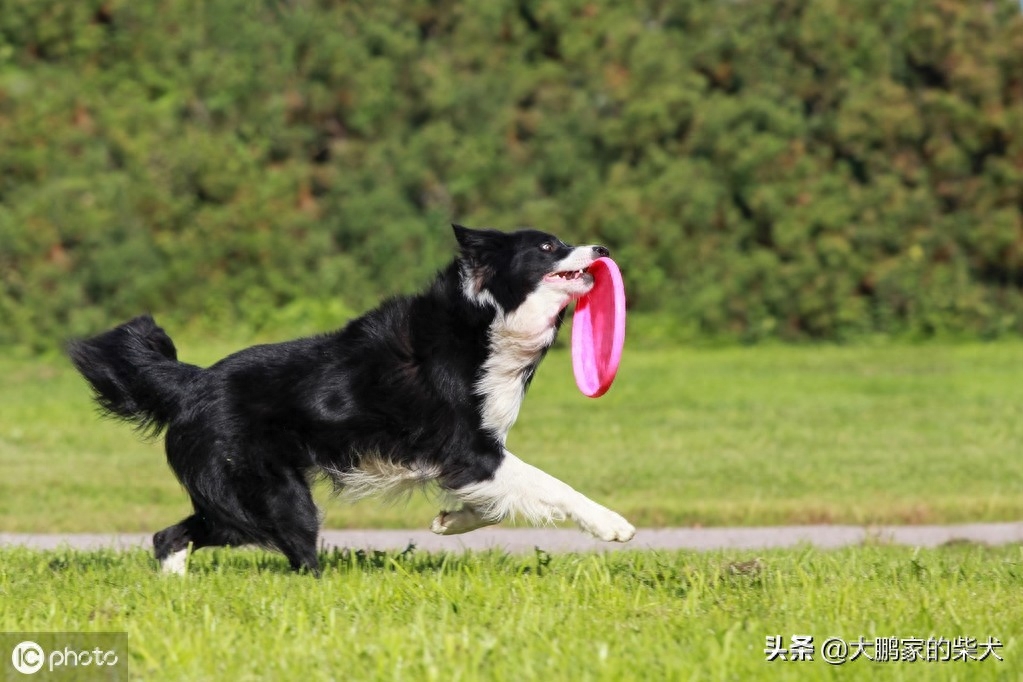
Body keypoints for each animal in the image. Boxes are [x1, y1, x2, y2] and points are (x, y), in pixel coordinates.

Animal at [68, 226, 634, 572]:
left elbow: (496, 502)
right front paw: (614, 525)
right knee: (294, 555)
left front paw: (449, 521)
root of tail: (192, 382)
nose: (604, 250)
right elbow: (551, 485)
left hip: (236, 501)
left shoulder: (464, 458)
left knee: (170, 534)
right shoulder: (469, 448)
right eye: (548, 247)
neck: (487, 319)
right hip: (273, 496)